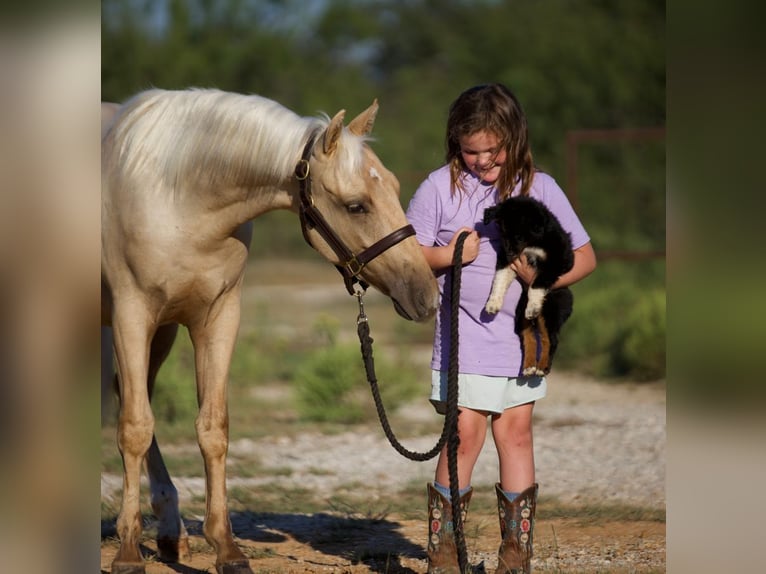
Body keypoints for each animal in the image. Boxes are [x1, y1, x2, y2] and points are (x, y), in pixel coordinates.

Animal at [101, 88, 439, 574]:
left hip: (160, 332)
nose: (426, 296)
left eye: (394, 187)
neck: (176, 196)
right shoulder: (132, 313)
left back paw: (171, 532)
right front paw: (128, 552)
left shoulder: (217, 317)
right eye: (356, 205)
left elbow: (212, 429)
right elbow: (133, 426)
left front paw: (226, 549)